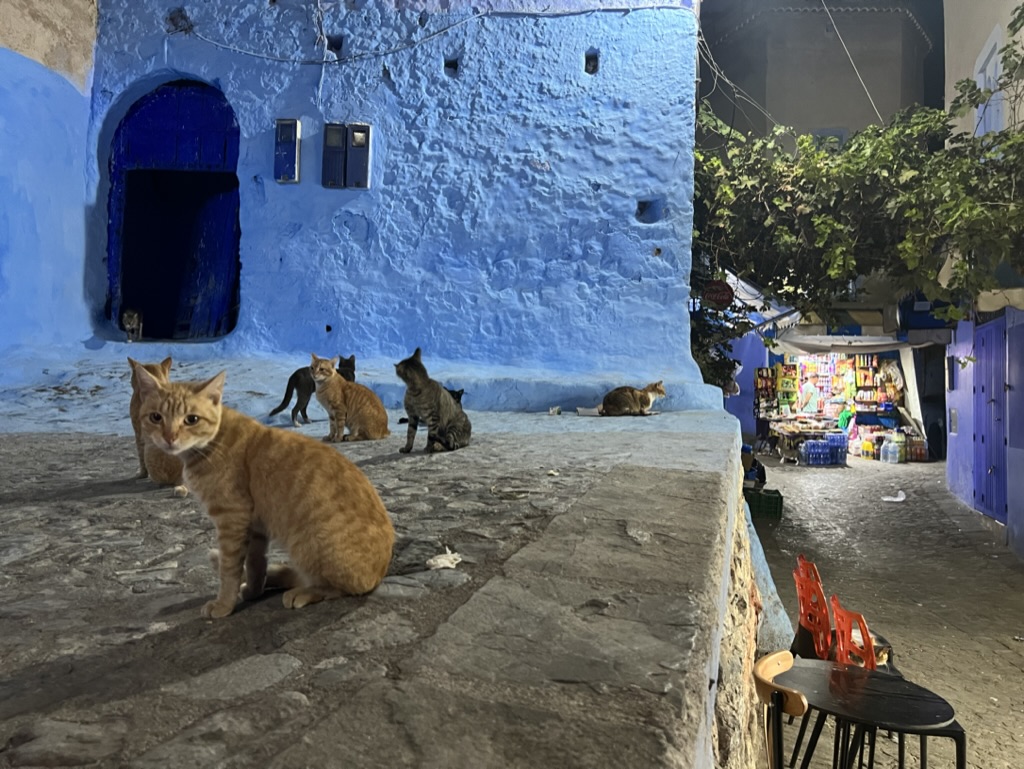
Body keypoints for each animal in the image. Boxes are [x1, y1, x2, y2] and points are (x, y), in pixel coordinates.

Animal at [132, 368, 395, 618]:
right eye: (156, 417)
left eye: (191, 419)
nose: (169, 437)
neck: (210, 443)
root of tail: (379, 575)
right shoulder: (255, 525)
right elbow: (255, 564)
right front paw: (252, 591)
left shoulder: (232, 519)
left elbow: (229, 569)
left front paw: (224, 605)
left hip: (307, 546)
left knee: (337, 587)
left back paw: (304, 592)